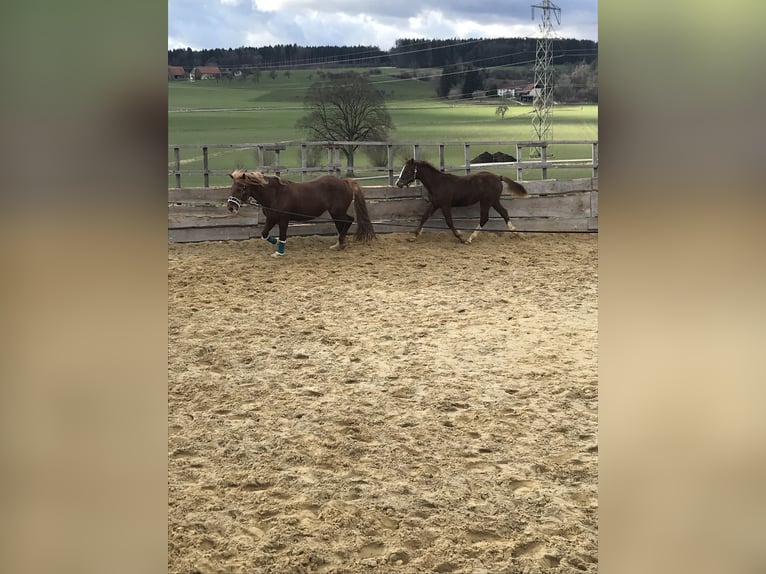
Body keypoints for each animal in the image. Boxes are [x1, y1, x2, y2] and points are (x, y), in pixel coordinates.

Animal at [228, 168, 378, 255]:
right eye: (232, 187)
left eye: (241, 188)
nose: (231, 207)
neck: (275, 194)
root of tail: (344, 182)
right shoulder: (271, 218)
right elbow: (264, 234)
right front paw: (274, 242)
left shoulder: (283, 220)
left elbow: (283, 236)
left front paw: (279, 252)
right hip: (335, 213)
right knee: (342, 224)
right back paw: (339, 244)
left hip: (337, 211)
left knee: (348, 221)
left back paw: (340, 242)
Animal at [396, 159, 528, 244]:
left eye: (407, 170)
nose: (398, 183)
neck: (438, 183)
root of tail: (497, 177)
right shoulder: (435, 204)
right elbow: (423, 218)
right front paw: (413, 237)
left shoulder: (445, 205)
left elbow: (449, 222)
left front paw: (460, 237)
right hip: (494, 201)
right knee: (504, 213)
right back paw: (515, 233)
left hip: (486, 201)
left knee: (484, 218)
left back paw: (469, 239)